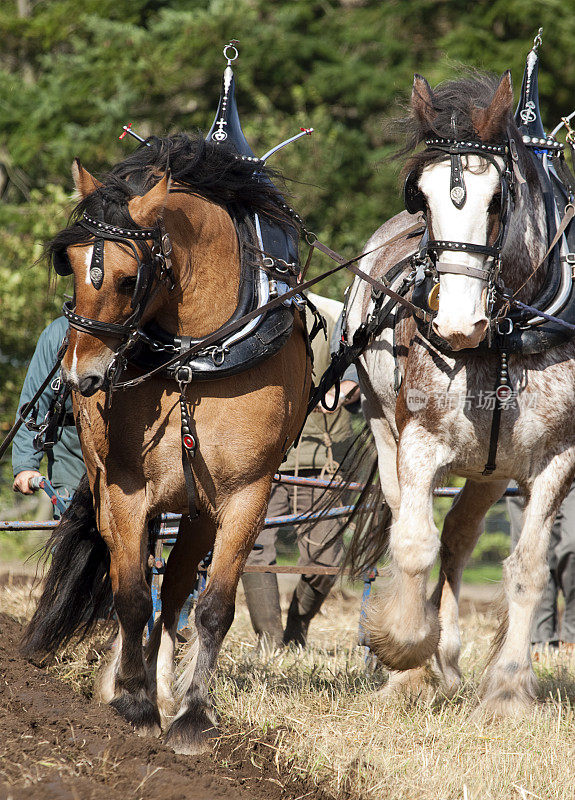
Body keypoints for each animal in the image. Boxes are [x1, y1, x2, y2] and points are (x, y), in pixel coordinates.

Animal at [23, 134, 310, 752]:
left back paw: (162, 680)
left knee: (176, 588)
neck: (192, 361)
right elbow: (130, 593)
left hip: (197, 508)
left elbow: (214, 606)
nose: (79, 376)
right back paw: (128, 679)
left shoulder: (247, 494)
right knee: (131, 576)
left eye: (128, 279)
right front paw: (132, 702)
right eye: (71, 266)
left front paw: (193, 714)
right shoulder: (125, 489)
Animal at [346, 72, 575, 716]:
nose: (455, 323)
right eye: (419, 198)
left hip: (490, 470)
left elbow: (528, 567)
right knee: (413, 525)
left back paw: (448, 655)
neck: (504, 336)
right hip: (384, 426)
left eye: (498, 200)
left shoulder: (557, 458)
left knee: (459, 540)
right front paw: (403, 654)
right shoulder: (420, 443)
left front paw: (510, 688)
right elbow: (412, 545)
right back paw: (424, 657)